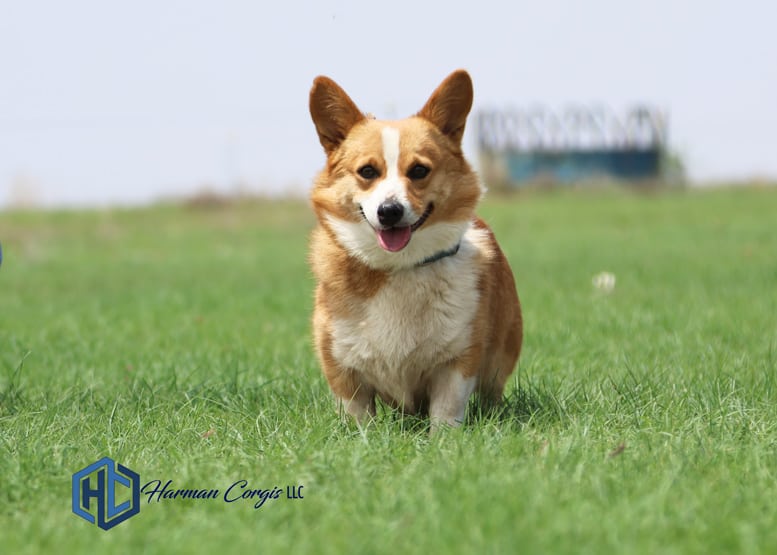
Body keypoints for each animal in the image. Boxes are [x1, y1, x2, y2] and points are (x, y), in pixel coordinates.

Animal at [308, 68, 520, 426]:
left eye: (419, 170)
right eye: (367, 171)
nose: (390, 211)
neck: (399, 265)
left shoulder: (457, 361)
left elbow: (445, 414)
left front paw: (444, 437)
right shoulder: (342, 367)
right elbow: (358, 418)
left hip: (499, 357)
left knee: (492, 393)